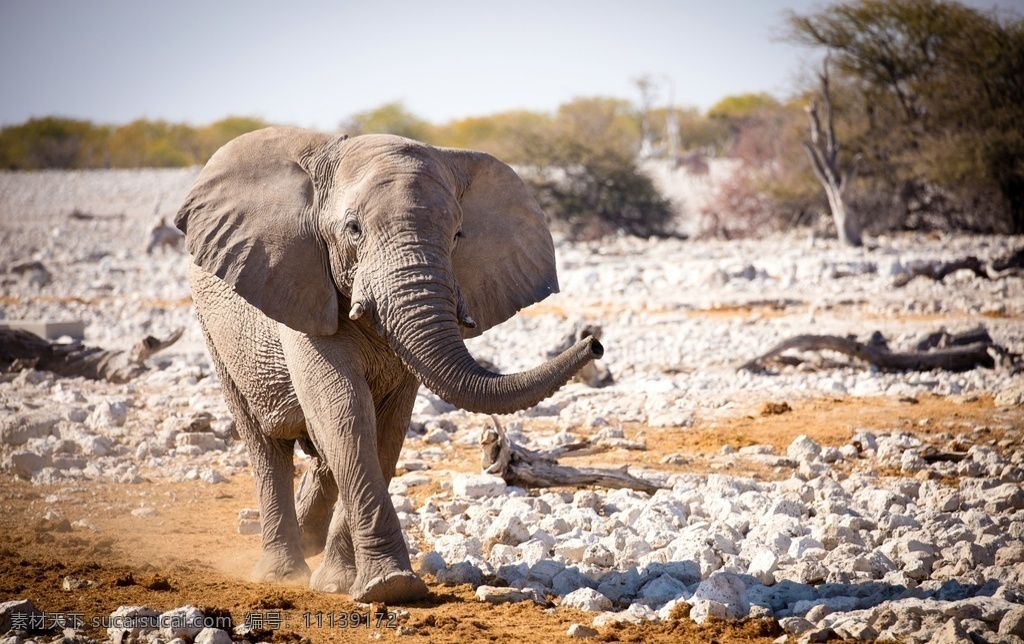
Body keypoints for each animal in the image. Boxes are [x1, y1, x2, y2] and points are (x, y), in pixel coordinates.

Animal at [174, 127, 603, 603]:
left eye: (458, 234)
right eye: (353, 230)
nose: (594, 344)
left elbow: (387, 428)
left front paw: (356, 585)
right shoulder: (301, 285)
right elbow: (345, 411)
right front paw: (388, 587)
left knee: (319, 447)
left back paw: (309, 545)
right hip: (214, 329)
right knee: (265, 444)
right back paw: (280, 575)